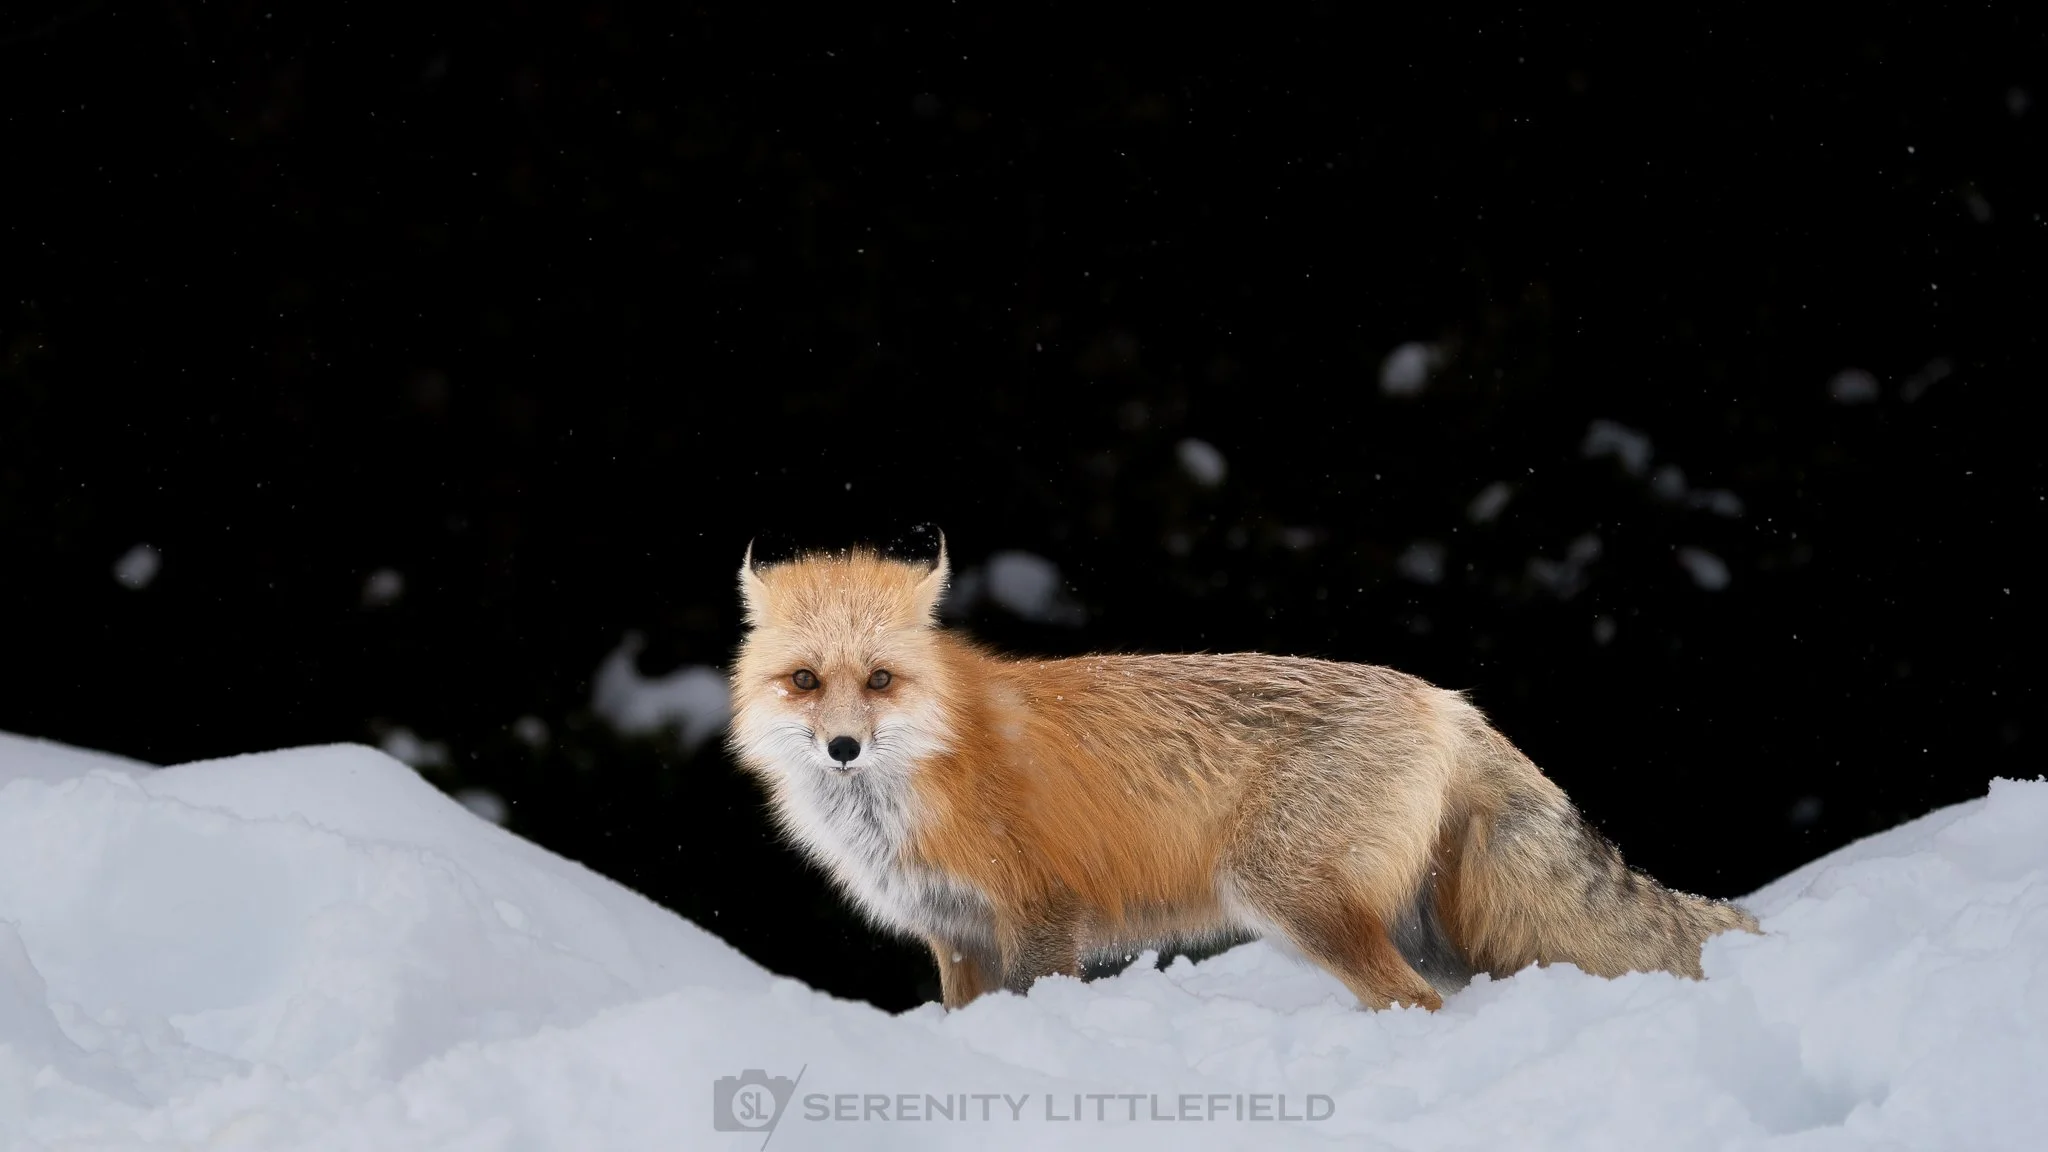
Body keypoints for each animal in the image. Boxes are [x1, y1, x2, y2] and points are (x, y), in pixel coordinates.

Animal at [727, 538, 1761, 1011]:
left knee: (1413, 1002)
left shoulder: (1043, 916)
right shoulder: (955, 937)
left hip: (1290, 896)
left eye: (880, 681)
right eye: (806, 681)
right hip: (1420, 925)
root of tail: (1447, 699)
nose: (843, 748)